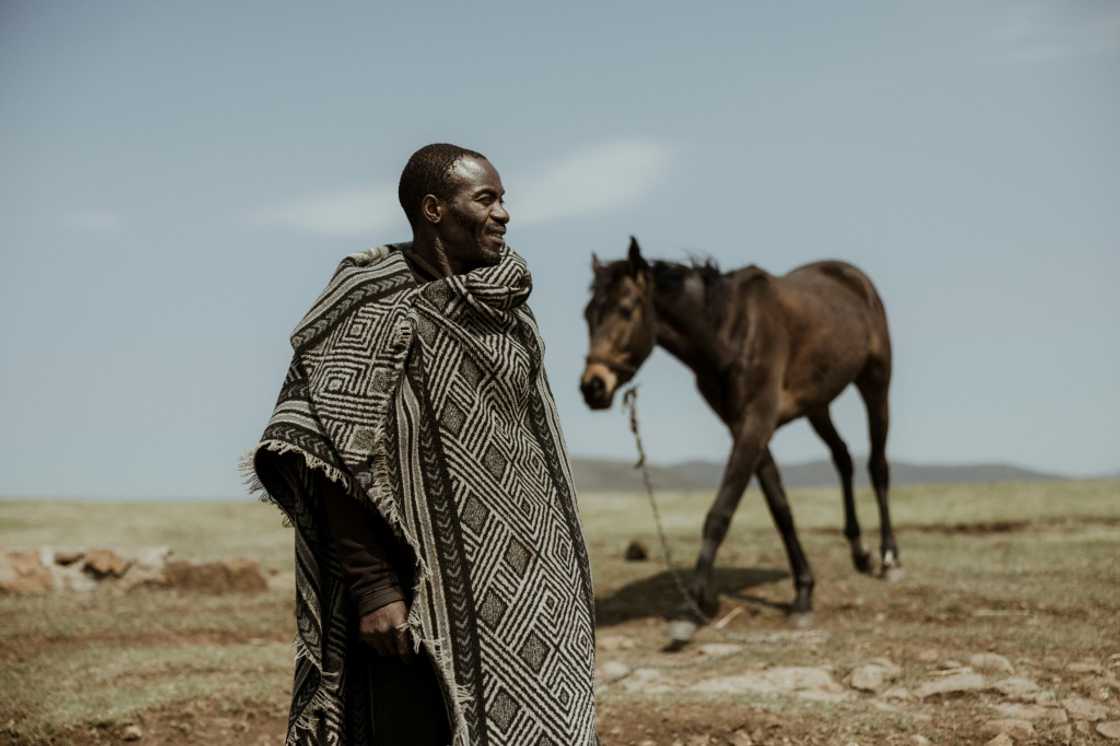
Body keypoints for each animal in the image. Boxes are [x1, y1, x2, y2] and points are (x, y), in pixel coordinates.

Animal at [580, 237, 900, 631]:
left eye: (626, 310)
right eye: (587, 314)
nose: (593, 387)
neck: (729, 333)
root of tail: (854, 277)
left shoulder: (756, 422)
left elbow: (720, 511)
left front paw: (692, 607)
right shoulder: (743, 426)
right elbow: (780, 508)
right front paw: (803, 590)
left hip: (875, 383)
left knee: (877, 465)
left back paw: (888, 557)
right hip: (817, 405)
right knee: (842, 457)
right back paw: (860, 552)